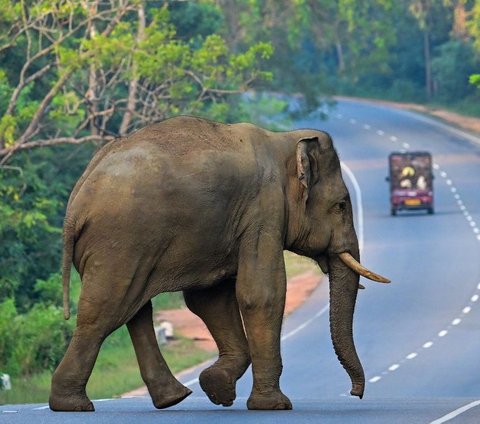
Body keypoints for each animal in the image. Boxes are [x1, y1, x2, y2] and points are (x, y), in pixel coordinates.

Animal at [48, 115, 388, 410]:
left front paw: (216, 388)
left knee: (135, 310)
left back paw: (172, 398)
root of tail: (76, 202)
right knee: (105, 312)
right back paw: (73, 405)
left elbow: (211, 299)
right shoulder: (263, 211)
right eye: (341, 205)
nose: (355, 393)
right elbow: (260, 294)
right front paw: (274, 406)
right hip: (120, 241)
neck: (283, 142)